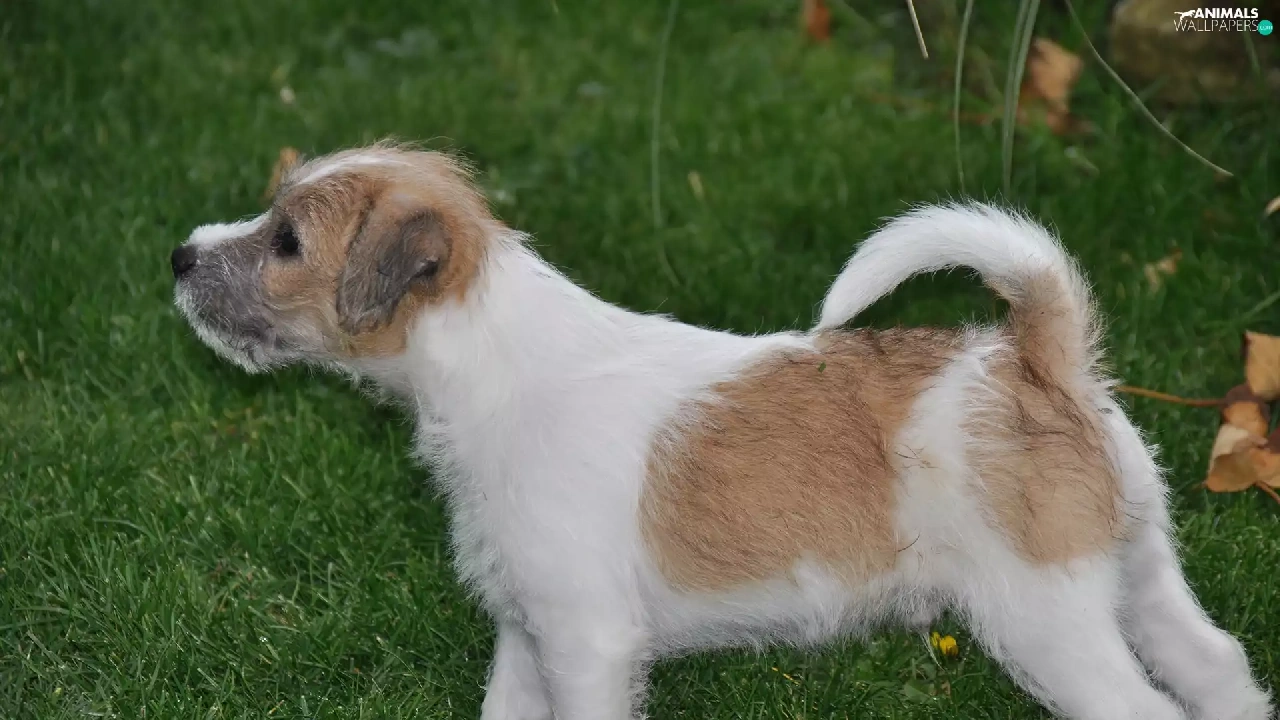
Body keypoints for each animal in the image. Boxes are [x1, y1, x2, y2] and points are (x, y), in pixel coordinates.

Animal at [172, 143, 1271, 720]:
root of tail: (1041, 358)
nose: (180, 255)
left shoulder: (586, 645)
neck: (498, 366)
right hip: (1138, 572)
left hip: (1045, 616)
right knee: (1216, 665)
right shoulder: (529, 636)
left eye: (286, 242)